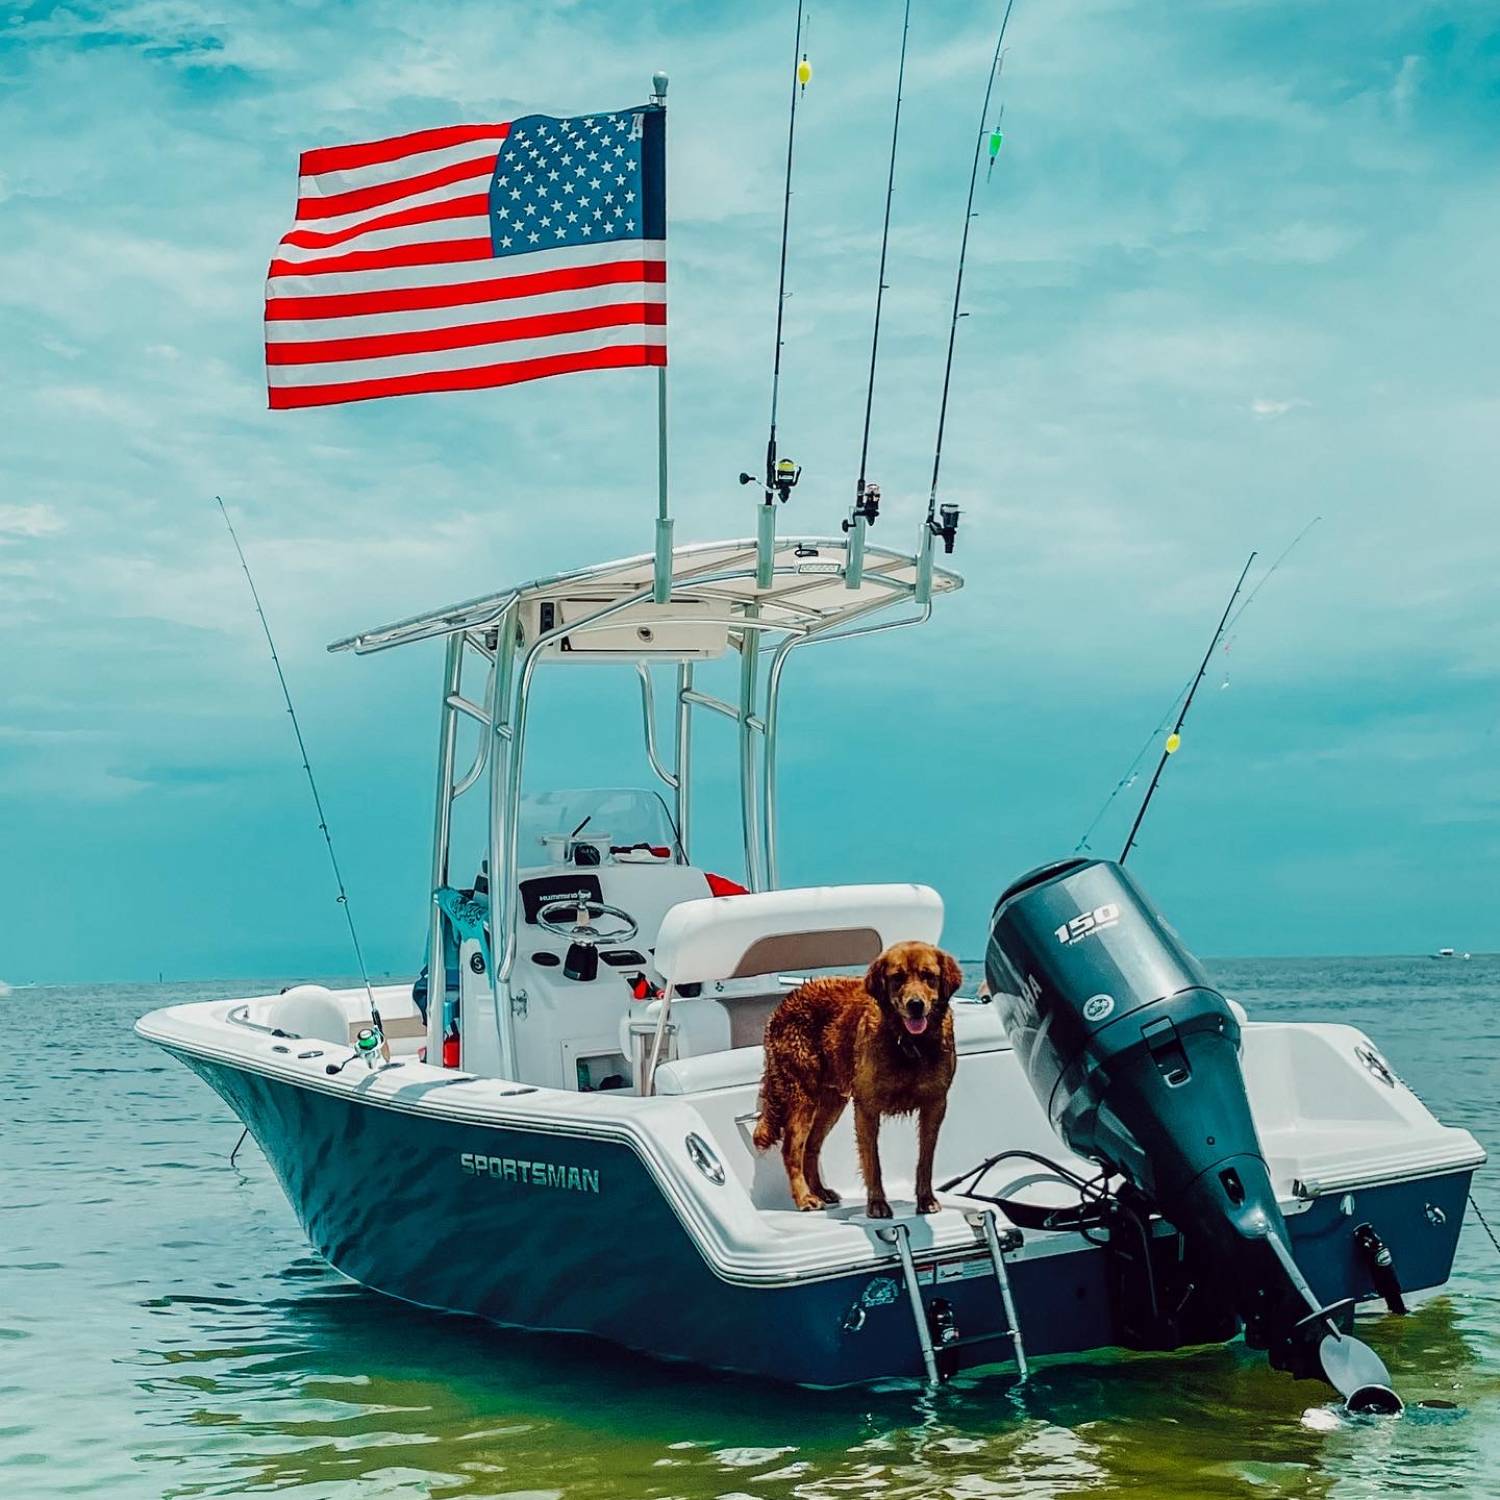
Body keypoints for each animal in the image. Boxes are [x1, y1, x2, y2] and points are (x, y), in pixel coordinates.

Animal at [750, 942, 960, 1212]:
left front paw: (926, 1199)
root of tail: (784, 1003)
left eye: (928, 976)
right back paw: (805, 1197)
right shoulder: (867, 1106)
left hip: (832, 1101)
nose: (915, 1004)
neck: (910, 1043)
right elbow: (873, 1161)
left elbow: (926, 1159)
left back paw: (820, 1191)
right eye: (897, 978)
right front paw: (877, 1204)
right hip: (802, 1095)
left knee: (811, 1146)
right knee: (792, 1150)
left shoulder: (935, 1104)